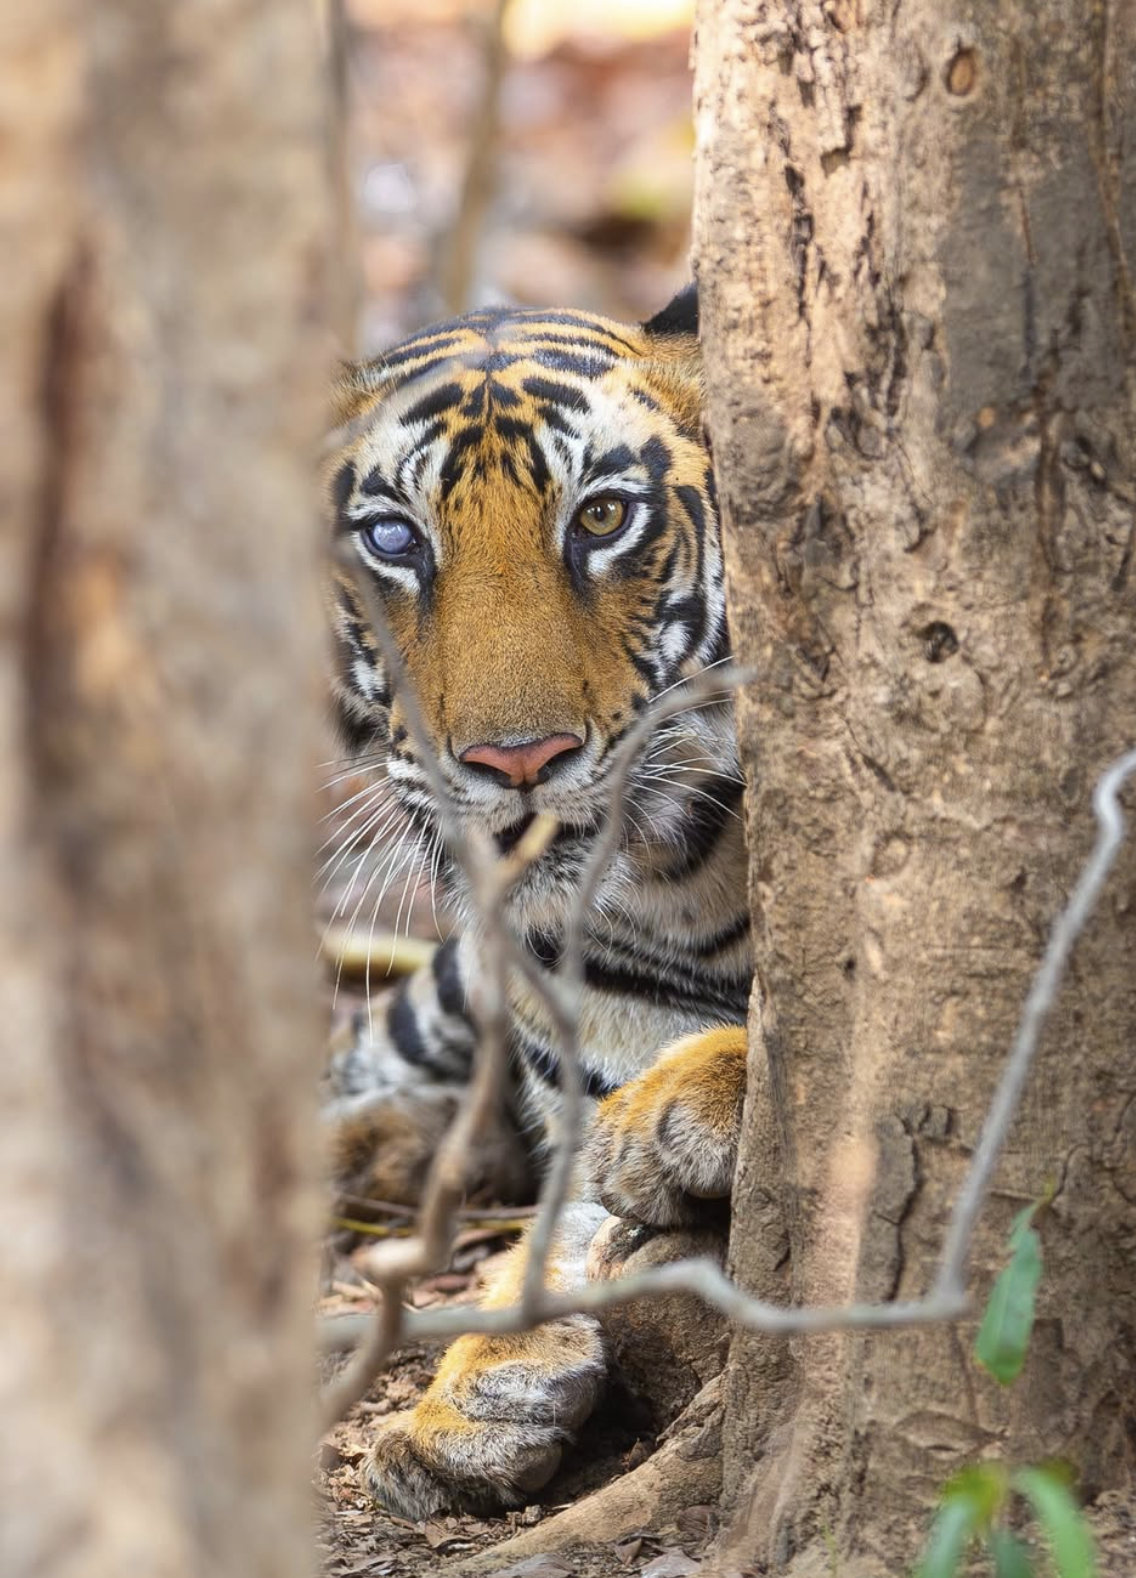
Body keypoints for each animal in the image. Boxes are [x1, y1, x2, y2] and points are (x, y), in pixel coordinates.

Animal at [324, 283, 752, 1519]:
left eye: (601, 518)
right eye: (392, 539)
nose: (518, 760)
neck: (676, 886)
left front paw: (680, 1109)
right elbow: (553, 1233)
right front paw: (468, 1400)